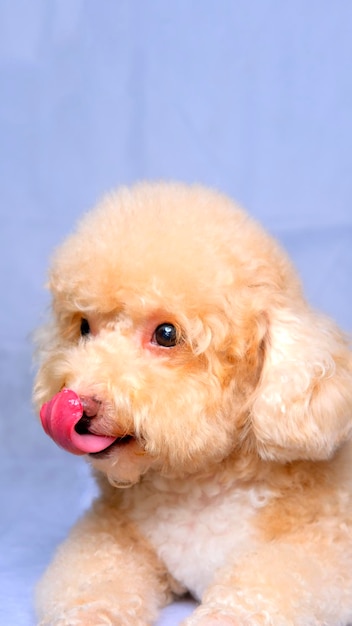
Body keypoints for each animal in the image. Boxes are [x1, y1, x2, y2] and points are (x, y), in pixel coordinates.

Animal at [34, 182, 352, 624]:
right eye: (83, 327)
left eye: (166, 334)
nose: (75, 403)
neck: (199, 486)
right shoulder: (112, 533)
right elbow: (94, 583)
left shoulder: (323, 544)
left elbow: (262, 588)